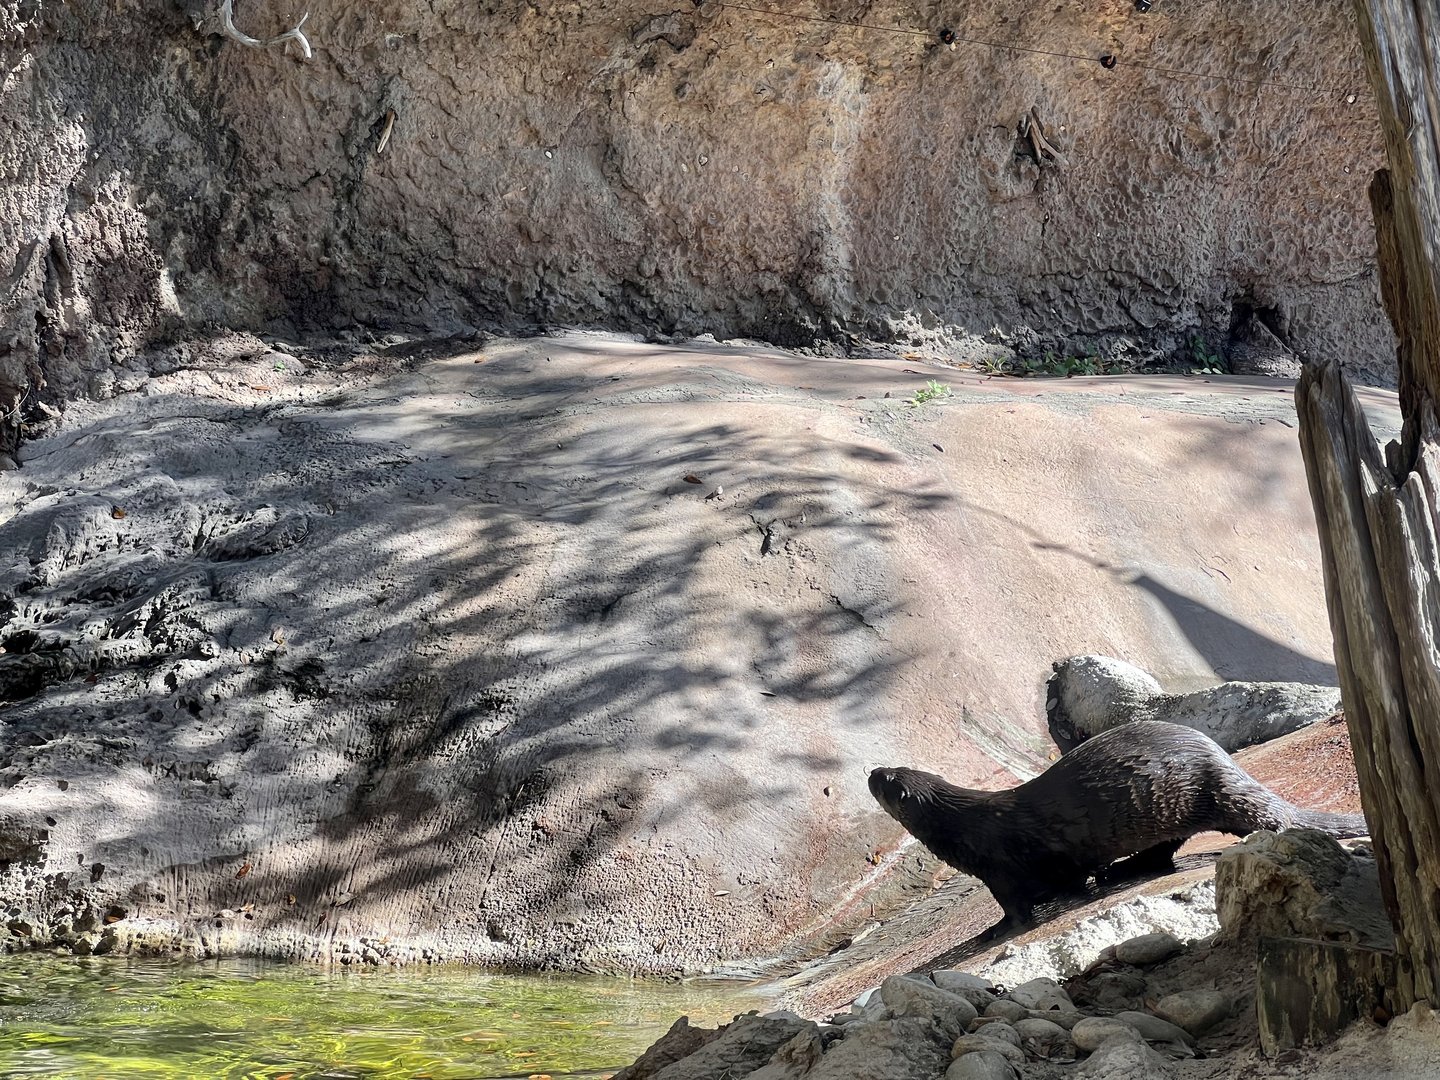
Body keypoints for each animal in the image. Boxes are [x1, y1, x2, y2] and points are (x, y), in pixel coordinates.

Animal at [869, 720, 1368, 939]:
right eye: (890, 769)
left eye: (887, 782)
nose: (871, 770)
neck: (962, 825)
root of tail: (1222, 757)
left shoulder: (998, 865)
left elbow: (1016, 909)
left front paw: (993, 932)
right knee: (1163, 853)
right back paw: (1120, 870)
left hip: (1208, 793)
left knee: (1262, 818)